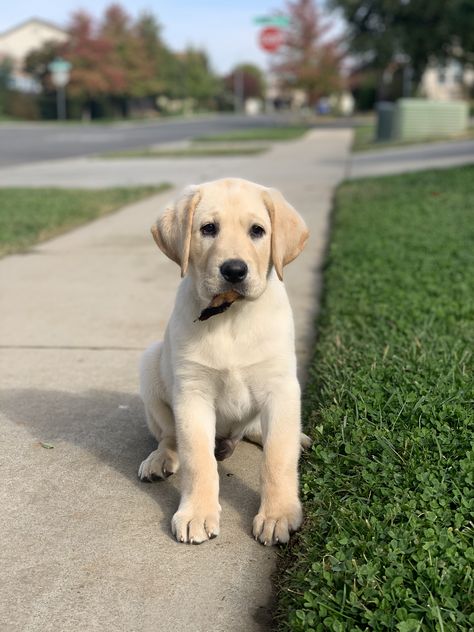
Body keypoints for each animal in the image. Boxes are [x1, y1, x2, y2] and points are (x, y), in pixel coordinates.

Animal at [140, 177, 312, 544]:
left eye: (258, 231)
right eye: (208, 228)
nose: (234, 270)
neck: (230, 314)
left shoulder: (281, 388)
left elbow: (278, 457)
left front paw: (277, 514)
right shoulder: (192, 394)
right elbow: (197, 458)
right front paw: (196, 513)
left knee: (260, 431)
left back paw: (297, 438)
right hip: (149, 365)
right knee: (169, 436)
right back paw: (160, 458)